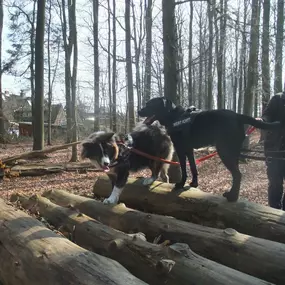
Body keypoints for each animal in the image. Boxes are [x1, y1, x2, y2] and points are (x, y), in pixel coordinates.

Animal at [136, 97, 280, 202]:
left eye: (149, 104)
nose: (138, 111)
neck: (174, 116)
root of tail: (237, 115)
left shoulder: (181, 149)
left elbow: (184, 169)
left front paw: (180, 184)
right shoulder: (189, 149)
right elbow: (193, 167)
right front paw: (194, 183)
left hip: (224, 151)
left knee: (237, 174)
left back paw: (232, 197)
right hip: (233, 152)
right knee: (236, 174)